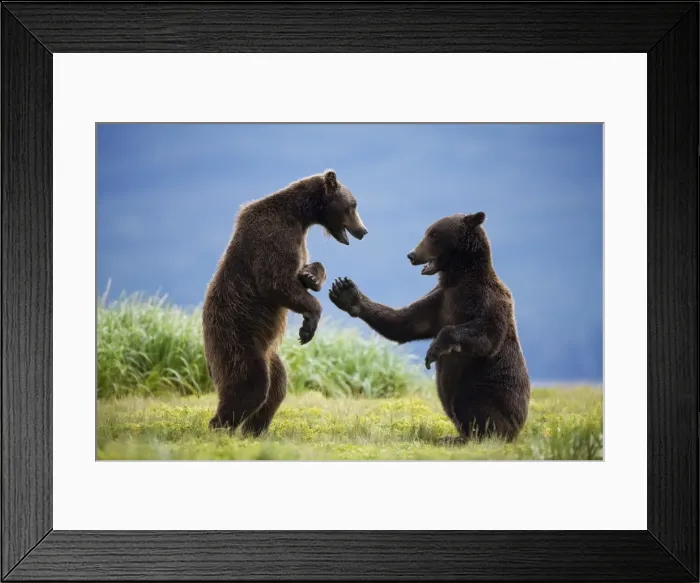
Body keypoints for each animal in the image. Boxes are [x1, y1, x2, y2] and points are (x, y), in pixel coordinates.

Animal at [203, 169, 368, 436]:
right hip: (236, 338)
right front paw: (309, 324)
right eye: (352, 205)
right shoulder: (273, 234)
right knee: (250, 386)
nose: (363, 231)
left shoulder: (299, 239)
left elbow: (304, 270)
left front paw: (311, 275)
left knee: (277, 386)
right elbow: (276, 282)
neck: (299, 215)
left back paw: (253, 431)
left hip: (269, 353)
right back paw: (221, 428)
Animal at [328, 211, 531, 443]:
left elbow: (487, 335)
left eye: (433, 234)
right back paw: (454, 436)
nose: (412, 254)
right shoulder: (439, 301)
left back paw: (471, 436)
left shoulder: (486, 300)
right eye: (427, 232)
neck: (458, 279)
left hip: (489, 388)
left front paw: (434, 350)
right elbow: (405, 323)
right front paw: (347, 293)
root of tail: (519, 427)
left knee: (474, 405)